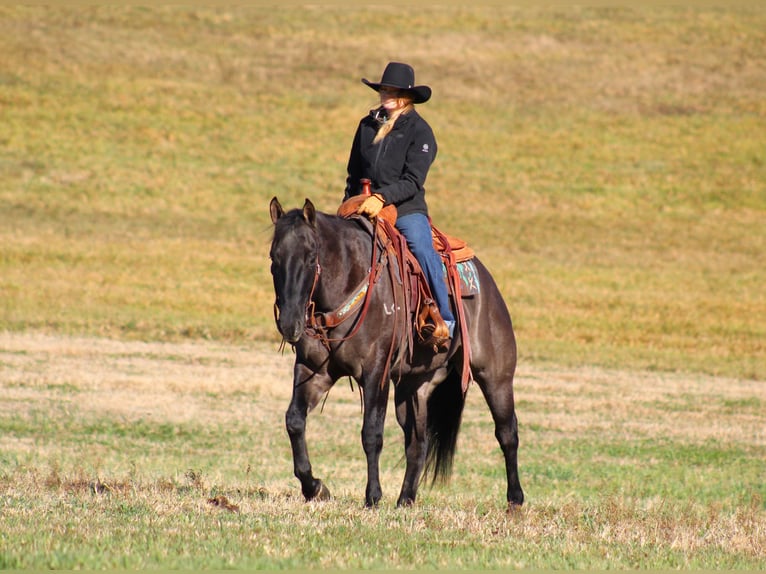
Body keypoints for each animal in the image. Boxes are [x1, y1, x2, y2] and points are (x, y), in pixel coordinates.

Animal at [268, 199, 524, 512]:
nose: (289, 323)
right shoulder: (313, 370)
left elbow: (371, 434)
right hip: (414, 386)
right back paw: (406, 499)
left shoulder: (375, 373)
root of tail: (487, 283)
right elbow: (294, 420)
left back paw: (515, 500)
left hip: (496, 377)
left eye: (310, 255)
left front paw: (373, 496)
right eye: (274, 256)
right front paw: (314, 487)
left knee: (507, 433)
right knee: (418, 442)